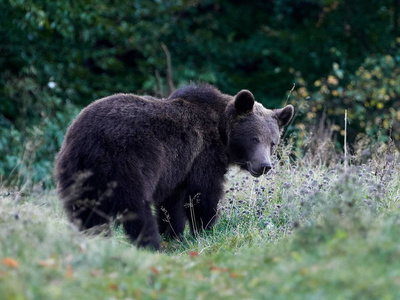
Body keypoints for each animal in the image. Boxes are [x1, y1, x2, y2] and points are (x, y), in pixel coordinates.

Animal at [54, 83, 294, 250]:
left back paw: (95, 240)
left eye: (273, 142)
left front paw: (174, 234)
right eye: (254, 138)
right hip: (126, 162)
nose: (264, 166)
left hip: (77, 171)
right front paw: (205, 230)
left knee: (85, 211)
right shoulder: (202, 156)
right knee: (136, 207)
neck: (221, 131)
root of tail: (89, 139)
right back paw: (150, 245)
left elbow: (171, 203)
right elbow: (202, 196)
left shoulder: (178, 168)